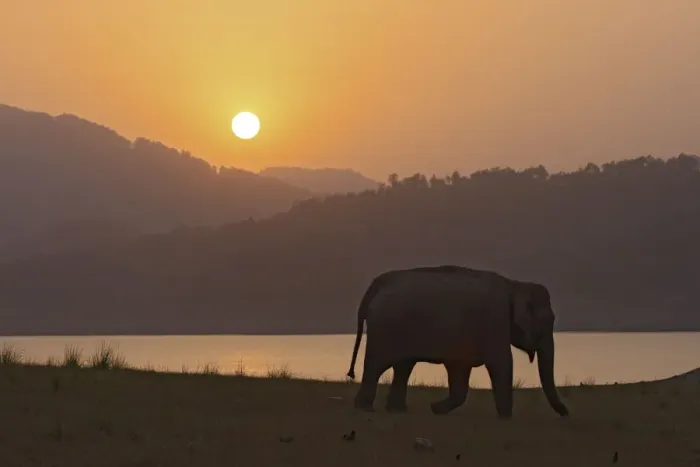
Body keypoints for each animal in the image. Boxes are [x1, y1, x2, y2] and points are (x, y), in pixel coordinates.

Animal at [346, 265, 569, 418]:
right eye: (548, 321)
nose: (566, 412)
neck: (514, 285)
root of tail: (377, 285)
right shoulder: (494, 320)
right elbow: (502, 362)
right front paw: (507, 417)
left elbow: (460, 370)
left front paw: (435, 408)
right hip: (385, 327)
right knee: (377, 365)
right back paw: (365, 408)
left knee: (403, 366)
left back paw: (396, 410)